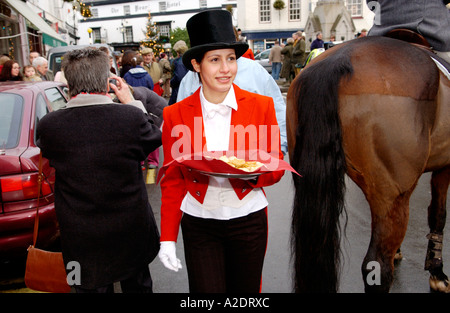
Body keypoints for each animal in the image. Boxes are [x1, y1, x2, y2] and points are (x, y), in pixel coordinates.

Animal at [286, 35, 448, 292]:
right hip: (391, 195)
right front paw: (437, 272)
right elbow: (438, 214)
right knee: (377, 265)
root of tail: (337, 61)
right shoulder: (444, 167)